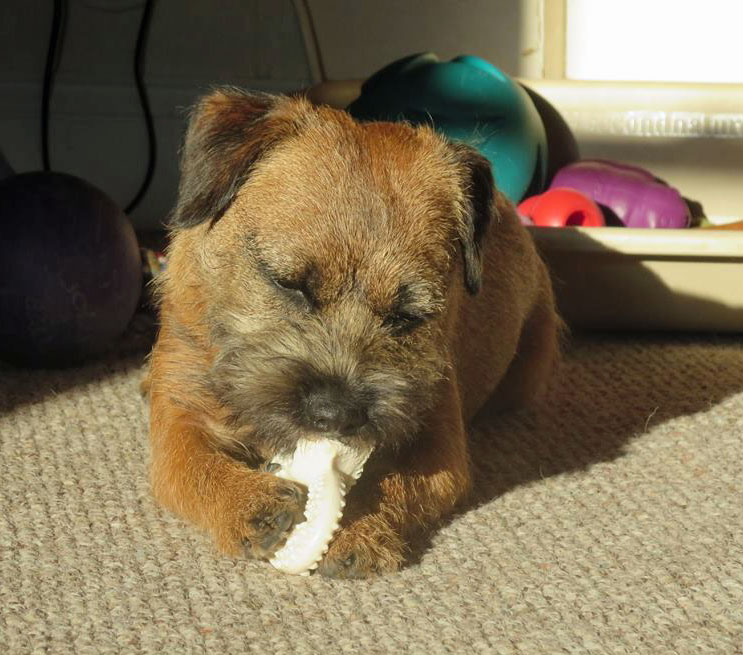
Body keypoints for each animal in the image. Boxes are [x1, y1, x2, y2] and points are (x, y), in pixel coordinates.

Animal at [142, 88, 562, 579]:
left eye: (407, 316)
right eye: (288, 283)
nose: (335, 413)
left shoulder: (438, 440)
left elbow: (399, 481)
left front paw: (359, 529)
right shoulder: (179, 414)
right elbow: (191, 467)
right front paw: (251, 503)